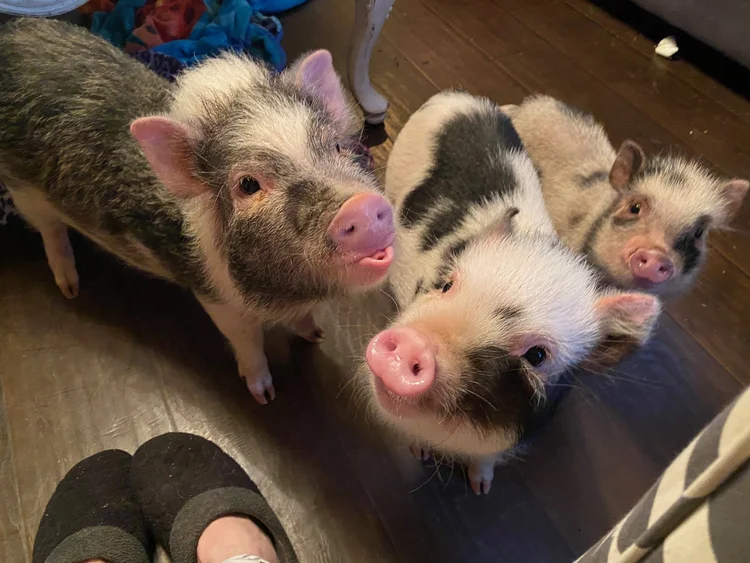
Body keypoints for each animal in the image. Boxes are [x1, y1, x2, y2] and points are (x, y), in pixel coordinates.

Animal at [0, 18, 395, 404]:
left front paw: (317, 335)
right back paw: (70, 289)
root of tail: (12, 32)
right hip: (24, 193)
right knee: (51, 232)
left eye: (339, 147)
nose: (361, 206)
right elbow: (248, 342)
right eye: (248, 184)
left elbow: (305, 319)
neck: (288, 289)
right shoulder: (217, 298)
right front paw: (265, 397)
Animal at [358, 91, 662, 495]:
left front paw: (481, 489)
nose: (413, 343)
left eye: (537, 355)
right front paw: (420, 453)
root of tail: (459, 97)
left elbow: (485, 461)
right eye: (447, 284)